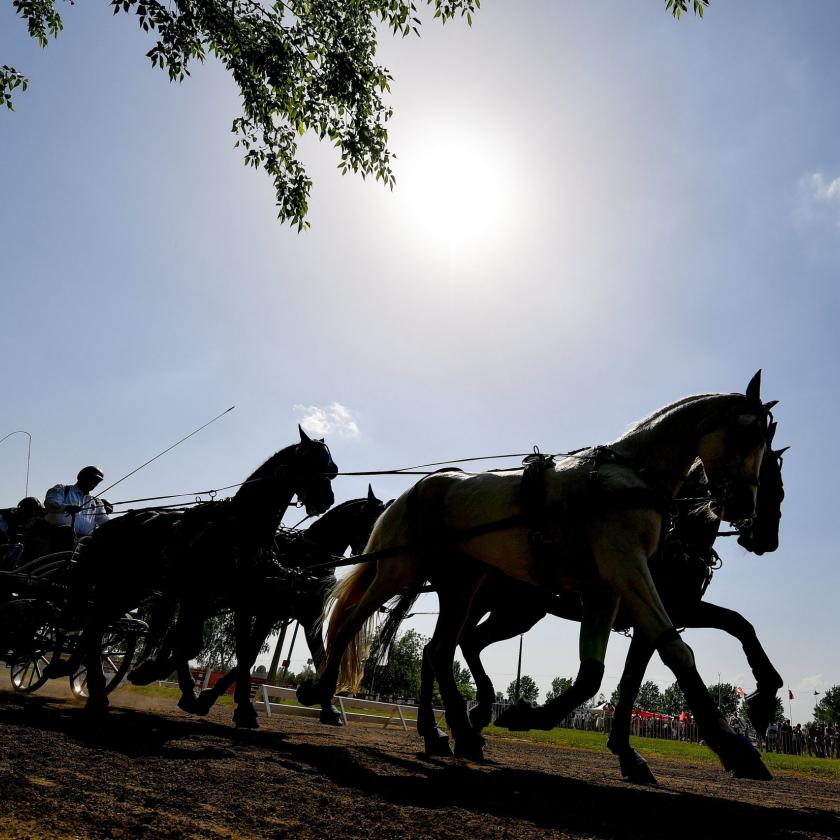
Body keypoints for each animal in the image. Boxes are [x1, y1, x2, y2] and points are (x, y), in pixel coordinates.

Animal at [68, 430, 338, 720]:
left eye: (331, 468)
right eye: (311, 462)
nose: (326, 500)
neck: (241, 529)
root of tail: (106, 527)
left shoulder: (239, 600)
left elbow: (234, 649)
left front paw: (220, 702)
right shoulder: (199, 593)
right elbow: (189, 642)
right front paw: (169, 680)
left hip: (131, 590)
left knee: (97, 623)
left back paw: (95, 688)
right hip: (120, 586)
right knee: (96, 625)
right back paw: (96, 689)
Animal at [300, 374, 776, 780]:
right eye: (752, 434)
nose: (747, 512)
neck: (628, 478)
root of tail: (415, 489)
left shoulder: (607, 589)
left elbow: (594, 675)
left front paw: (527, 714)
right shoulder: (629, 570)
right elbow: (676, 651)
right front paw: (736, 747)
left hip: (465, 586)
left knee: (439, 649)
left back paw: (456, 732)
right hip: (401, 569)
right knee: (353, 622)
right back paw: (323, 692)